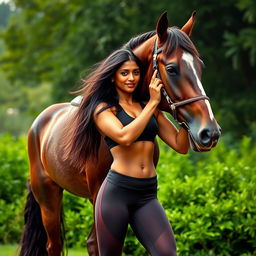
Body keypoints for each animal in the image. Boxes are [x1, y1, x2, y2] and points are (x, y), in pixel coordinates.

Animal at [19, 11, 221, 256]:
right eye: (172, 68)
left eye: (200, 67)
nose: (210, 132)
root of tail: (39, 123)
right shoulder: (97, 192)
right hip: (49, 197)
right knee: (55, 245)